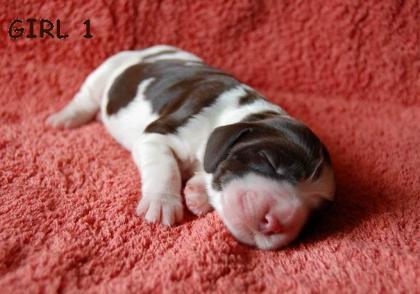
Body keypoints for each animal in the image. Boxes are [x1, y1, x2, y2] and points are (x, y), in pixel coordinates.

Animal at [46, 44, 334, 249]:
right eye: (272, 163)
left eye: (314, 213)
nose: (277, 222)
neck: (245, 112)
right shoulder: (159, 135)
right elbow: (165, 166)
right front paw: (162, 203)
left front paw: (197, 193)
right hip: (106, 70)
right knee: (87, 96)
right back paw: (66, 118)